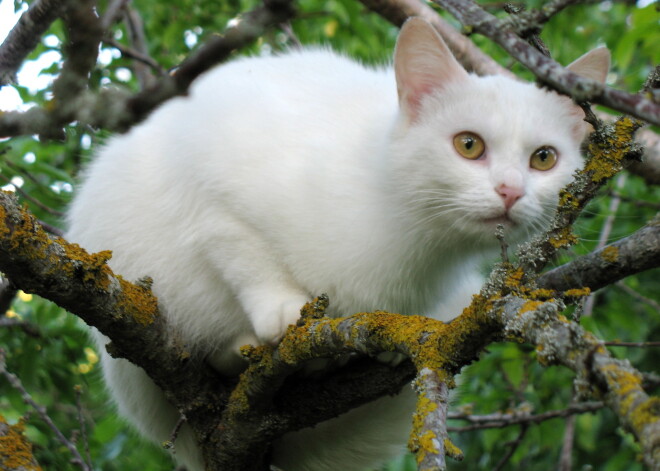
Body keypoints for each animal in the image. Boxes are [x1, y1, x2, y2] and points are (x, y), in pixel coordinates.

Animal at [67, 17, 608, 471]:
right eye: (468, 145)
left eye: (544, 158)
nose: (511, 191)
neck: (414, 234)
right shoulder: (206, 170)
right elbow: (241, 249)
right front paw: (282, 312)